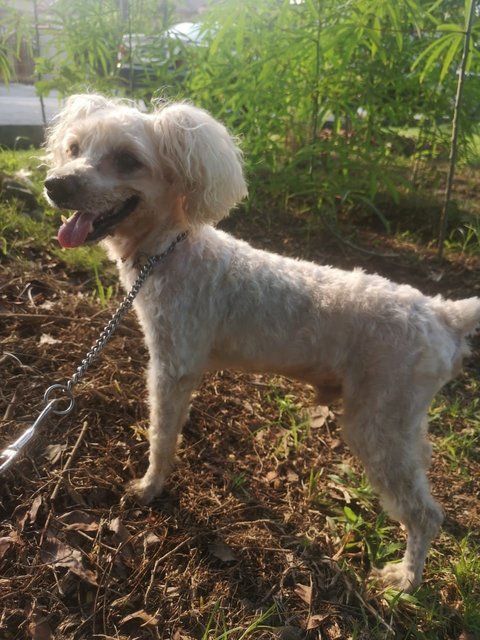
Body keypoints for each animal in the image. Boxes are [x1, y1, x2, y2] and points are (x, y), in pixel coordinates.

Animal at [43, 94, 478, 592]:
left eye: (128, 160)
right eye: (74, 148)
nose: (54, 185)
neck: (170, 249)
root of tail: (444, 314)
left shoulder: (171, 365)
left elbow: (161, 435)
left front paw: (150, 486)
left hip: (378, 422)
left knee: (425, 514)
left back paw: (405, 580)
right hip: (402, 420)